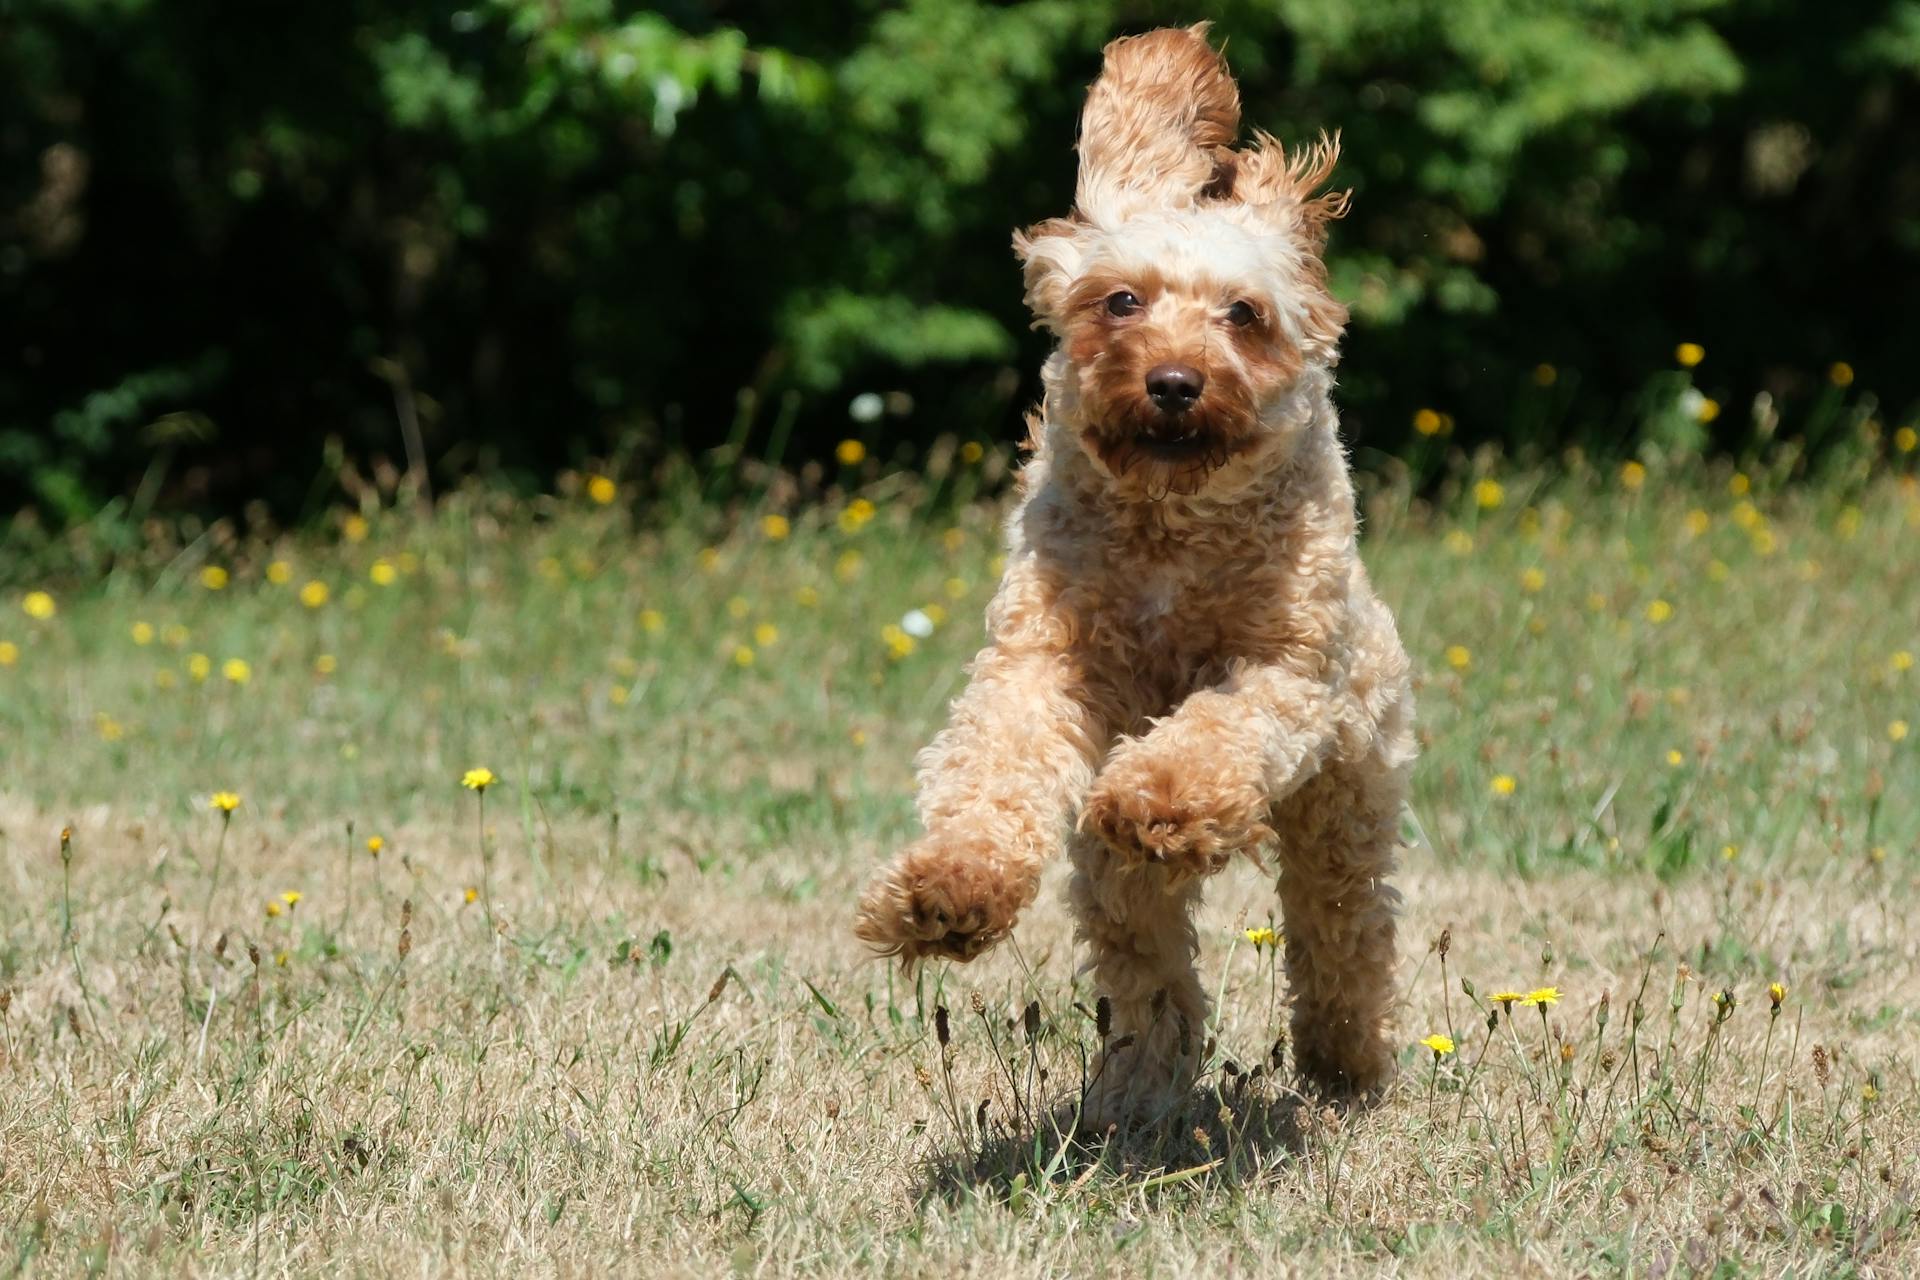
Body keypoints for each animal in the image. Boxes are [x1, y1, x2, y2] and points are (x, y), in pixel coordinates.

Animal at [856, 22, 1413, 1120]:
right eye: (1121, 300)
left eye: (1243, 314)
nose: (1173, 381)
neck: (1167, 532)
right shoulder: (1038, 662)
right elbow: (992, 768)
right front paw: (950, 890)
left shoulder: (1286, 672)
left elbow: (1215, 729)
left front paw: (1158, 797)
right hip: (1120, 886)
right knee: (1147, 958)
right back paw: (1140, 1085)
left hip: (1347, 793)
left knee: (1341, 927)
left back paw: (1345, 1063)